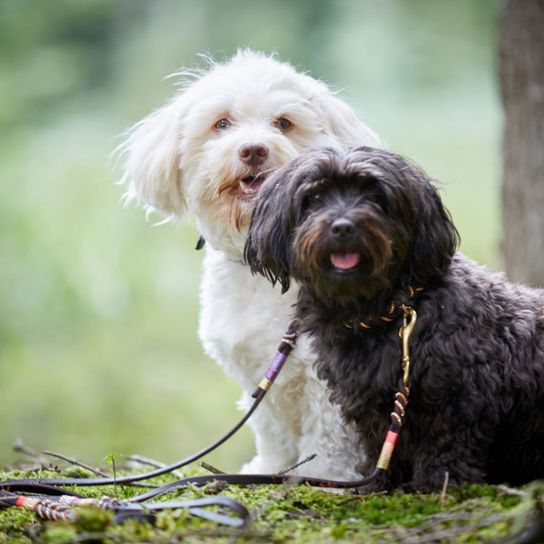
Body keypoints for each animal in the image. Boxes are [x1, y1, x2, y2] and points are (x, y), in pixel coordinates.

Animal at [120, 49, 380, 478]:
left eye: (284, 123)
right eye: (222, 124)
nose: (254, 149)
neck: (264, 267)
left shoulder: (327, 381)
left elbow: (328, 437)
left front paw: (322, 477)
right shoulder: (255, 369)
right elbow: (270, 428)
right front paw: (269, 466)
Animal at [246, 148, 544, 488]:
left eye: (376, 195)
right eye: (315, 196)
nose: (343, 227)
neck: (384, 312)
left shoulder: (459, 401)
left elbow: (445, 448)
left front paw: (434, 486)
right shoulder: (375, 408)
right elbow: (384, 448)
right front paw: (378, 484)